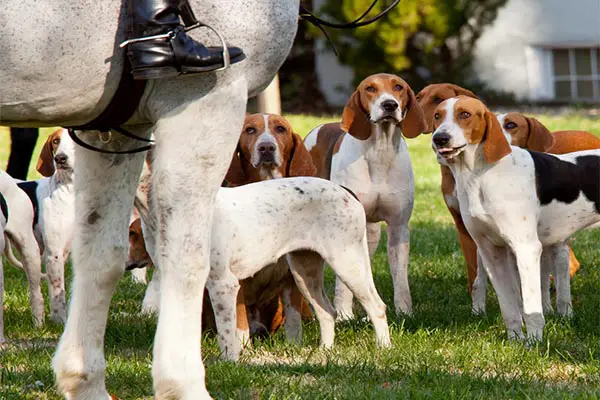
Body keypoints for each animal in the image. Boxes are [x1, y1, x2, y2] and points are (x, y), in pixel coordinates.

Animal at [304, 72, 426, 318]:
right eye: (370, 88)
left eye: (398, 87)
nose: (389, 104)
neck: (380, 151)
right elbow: (342, 284)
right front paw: (343, 314)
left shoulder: (399, 227)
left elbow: (400, 277)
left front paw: (404, 312)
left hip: (369, 233)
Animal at [432, 94, 600, 340]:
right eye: (437, 115)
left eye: (465, 114)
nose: (439, 138)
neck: (481, 176)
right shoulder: (491, 252)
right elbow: (510, 306)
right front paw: (515, 340)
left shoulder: (526, 249)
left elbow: (531, 307)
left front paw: (535, 342)